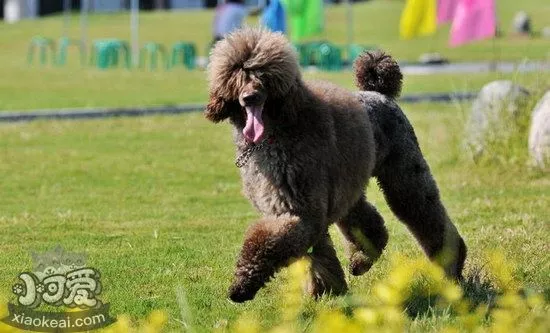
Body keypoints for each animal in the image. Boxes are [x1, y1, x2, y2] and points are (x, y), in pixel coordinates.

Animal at [205, 27, 468, 302]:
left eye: (263, 76)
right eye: (237, 75)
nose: (250, 97)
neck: (277, 130)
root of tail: (380, 93)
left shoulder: (302, 209)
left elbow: (267, 242)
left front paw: (242, 285)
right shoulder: (305, 207)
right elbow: (318, 253)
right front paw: (326, 291)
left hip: (403, 174)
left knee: (421, 210)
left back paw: (452, 263)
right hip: (349, 187)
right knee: (367, 221)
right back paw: (361, 260)